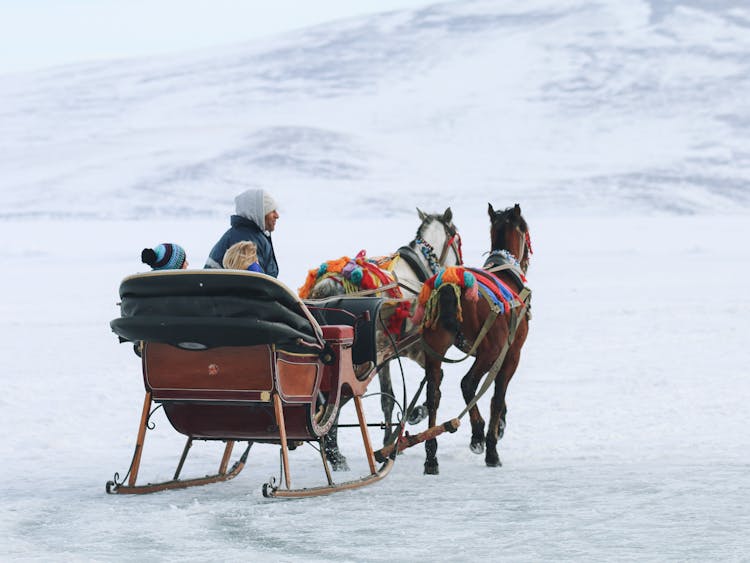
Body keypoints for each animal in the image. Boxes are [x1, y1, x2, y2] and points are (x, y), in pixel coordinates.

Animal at [418, 205, 536, 474]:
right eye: (525, 229)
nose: (526, 263)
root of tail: (453, 285)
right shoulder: (511, 353)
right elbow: (497, 396)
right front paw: (492, 437)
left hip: (435, 349)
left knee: (433, 393)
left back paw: (431, 456)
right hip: (489, 351)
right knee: (468, 383)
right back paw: (480, 437)